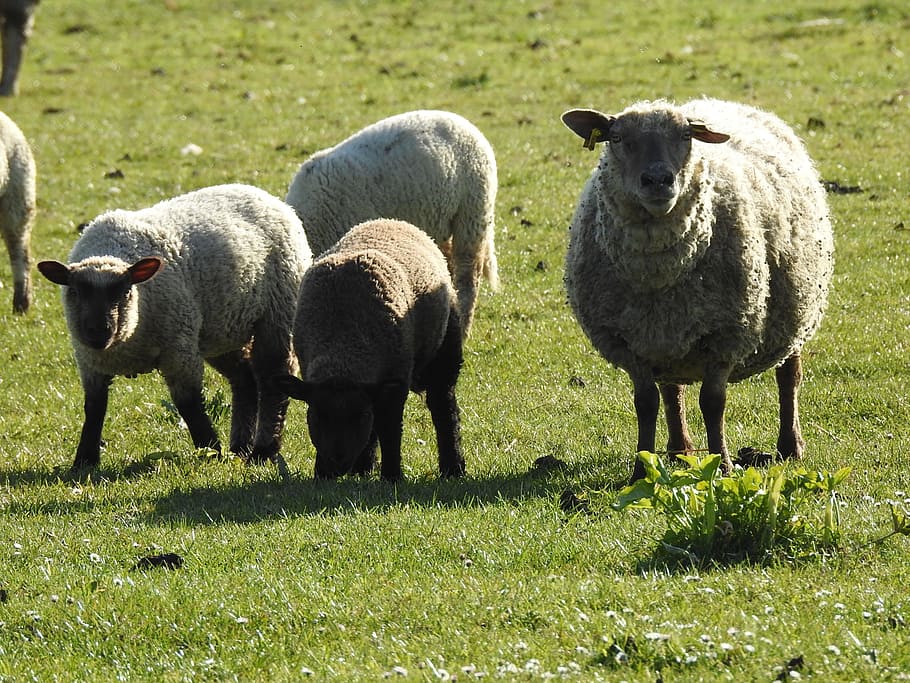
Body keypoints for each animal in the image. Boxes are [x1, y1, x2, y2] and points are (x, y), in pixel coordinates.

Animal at [37, 183, 312, 471]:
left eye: (124, 292)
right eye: (75, 292)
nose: (99, 332)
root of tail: (265, 195)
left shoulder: (179, 350)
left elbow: (188, 404)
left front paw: (210, 450)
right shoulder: (89, 362)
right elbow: (94, 408)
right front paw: (84, 460)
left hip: (278, 313)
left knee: (272, 382)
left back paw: (262, 451)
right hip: (219, 330)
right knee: (244, 380)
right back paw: (240, 447)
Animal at [273, 218, 465, 482]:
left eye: (360, 416)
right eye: (316, 415)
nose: (337, 465)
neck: (342, 345)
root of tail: (391, 221)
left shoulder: (396, 380)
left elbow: (390, 430)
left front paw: (392, 476)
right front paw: (323, 474)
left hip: (445, 350)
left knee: (444, 408)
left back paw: (453, 467)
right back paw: (363, 468)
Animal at [561, 98, 834, 481]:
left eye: (686, 136)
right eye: (616, 138)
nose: (658, 180)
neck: (658, 273)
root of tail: (724, 102)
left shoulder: (726, 334)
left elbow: (713, 402)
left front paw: (723, 465)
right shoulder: (629, 342)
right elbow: (645, 403)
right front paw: (640, 471)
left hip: (797, 309)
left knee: (788, 377)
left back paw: (790, 446)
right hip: (666, 340)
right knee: (671, 390)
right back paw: (679, 451)